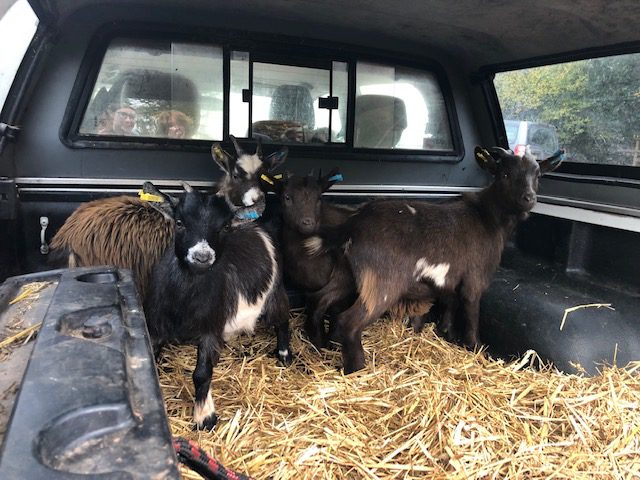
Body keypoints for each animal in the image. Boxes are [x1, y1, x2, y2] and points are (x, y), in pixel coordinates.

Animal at [143, 182, 293, 429]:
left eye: (225, 227)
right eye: (179, 222)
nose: (202, 256)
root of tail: (258, 227)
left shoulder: (210, 326)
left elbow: (202, 373)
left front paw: (204, 417)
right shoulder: (155, 325)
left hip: (275, 292)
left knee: (282, 320)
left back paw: (284, 354)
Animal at [309, 146, 564, 373]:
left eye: (538, 175)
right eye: (505, 174)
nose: (528, 198)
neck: (487, 217)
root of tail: (352, 225)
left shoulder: (449, 282)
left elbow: (449, 305)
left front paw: (446, 333)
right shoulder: (474, 280)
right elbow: (471, 313)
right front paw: (476, 348)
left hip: (345, 273)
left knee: (320, 299)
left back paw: (319, 344)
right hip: (383, 282)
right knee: (349, 321)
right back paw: (357, 368)